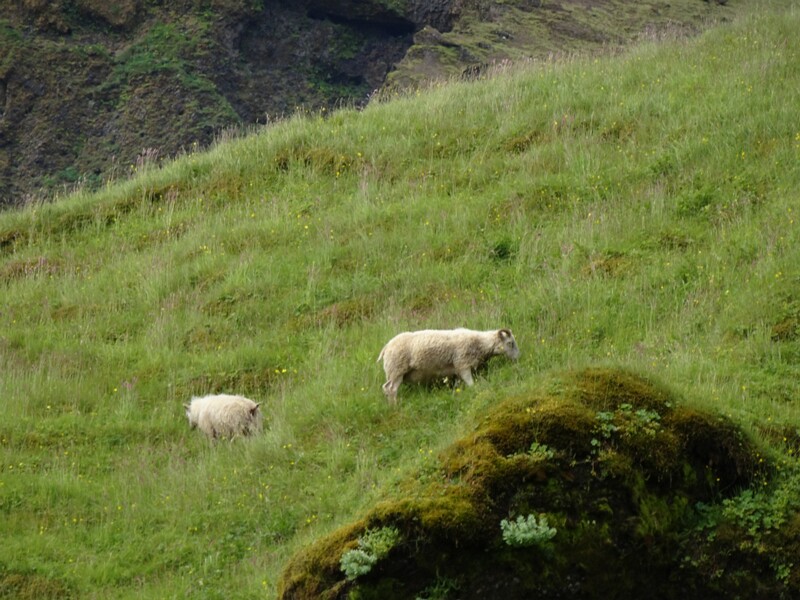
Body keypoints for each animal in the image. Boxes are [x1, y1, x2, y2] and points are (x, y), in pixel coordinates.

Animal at [377, 328, 520, 404]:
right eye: (510, 343)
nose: (518, 358)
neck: (480, 344)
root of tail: (386, 347)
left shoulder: (457, 370)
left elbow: (458, 384)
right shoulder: (463, 364)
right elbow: (471, 384)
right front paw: (476, 391)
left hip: (395, 372)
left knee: (386, 388)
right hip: (397, 369)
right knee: (391, 388)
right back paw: (395, 406)